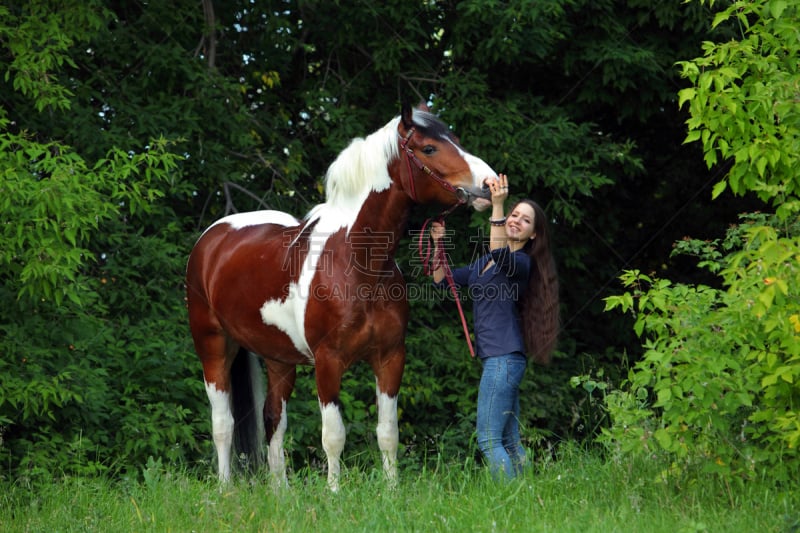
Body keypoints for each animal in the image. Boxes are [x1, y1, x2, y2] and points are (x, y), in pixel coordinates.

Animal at [188, 102, 496, 488]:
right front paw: (334, 492)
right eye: (429, 148)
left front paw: (392, 490)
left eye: (456, 139)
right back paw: (226, 488)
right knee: (223, 424)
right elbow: (333, 435)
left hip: (279, 359)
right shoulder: (328, 362)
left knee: (273, 420)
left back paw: (280, 492)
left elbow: (388, 432)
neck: (357, 262)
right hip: (213, 347)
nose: (489, 185)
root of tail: (213, 237)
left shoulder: (390, 358)